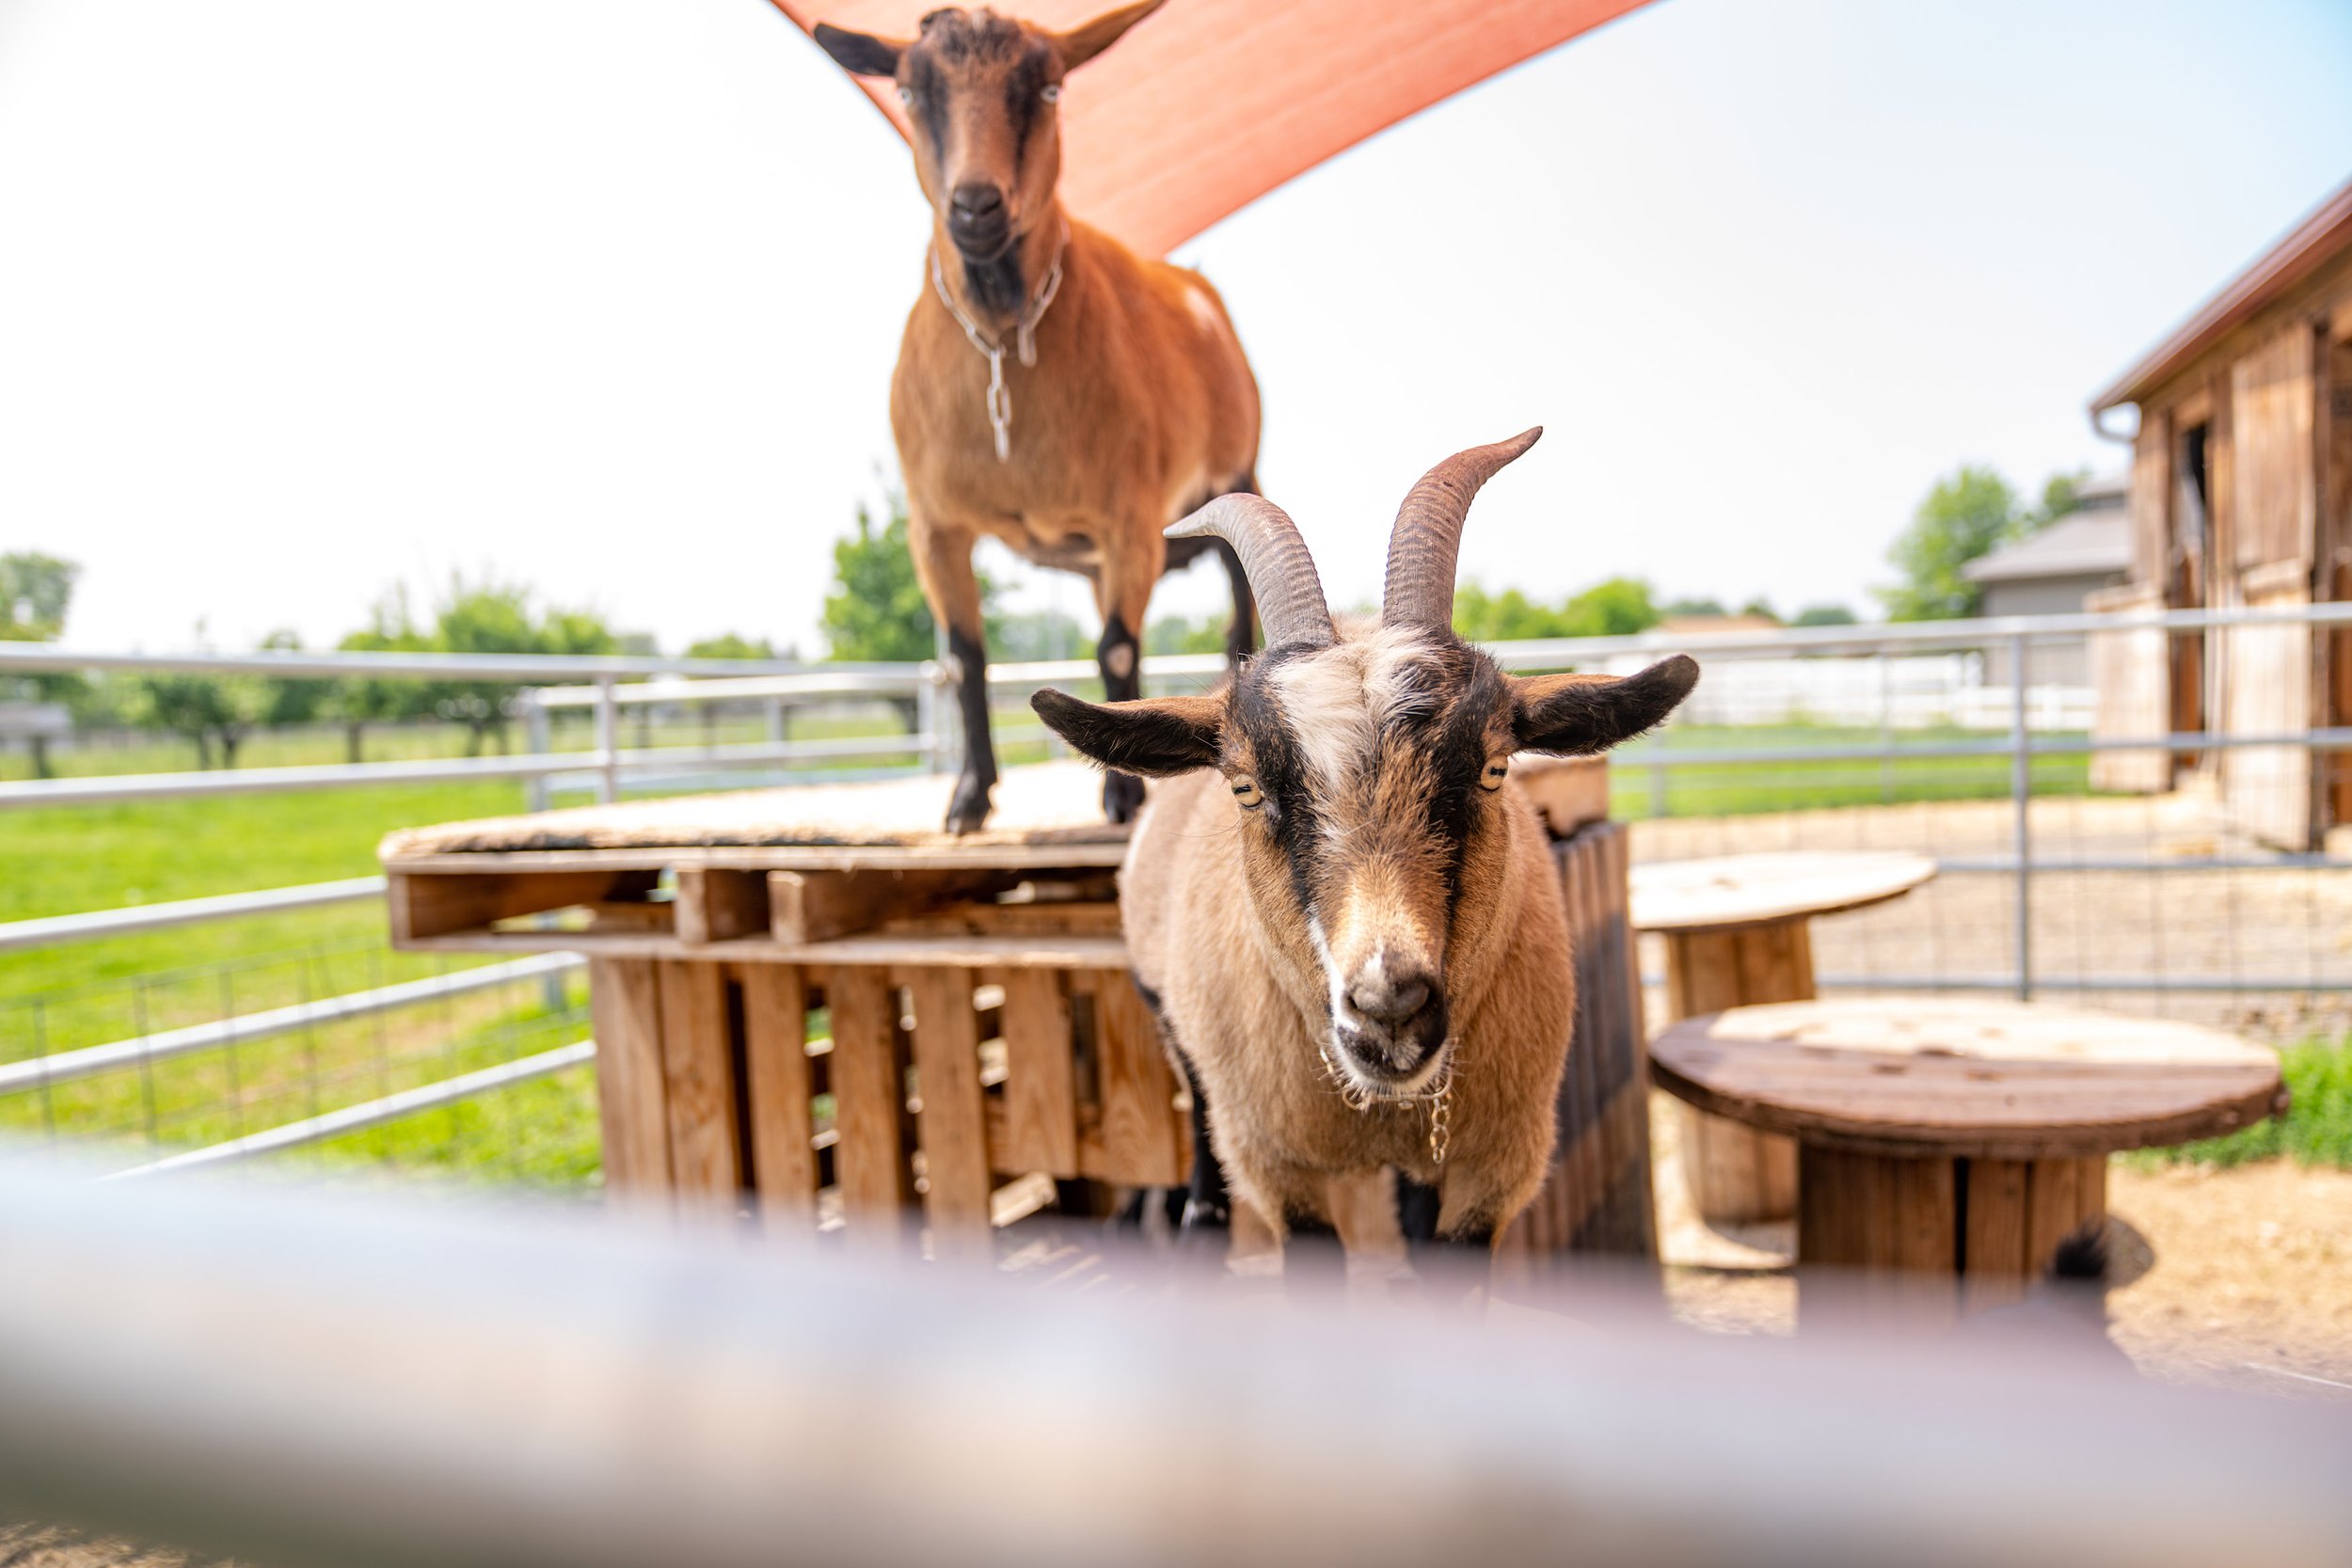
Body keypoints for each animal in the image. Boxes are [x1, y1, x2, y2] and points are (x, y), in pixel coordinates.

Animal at [813, 3, 1262, 833]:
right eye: (908, 90)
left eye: (1050, 88)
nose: (975, 206)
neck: (1002, 333)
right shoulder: (934, 526)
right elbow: (966, 655)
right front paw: (968, 798)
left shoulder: (1127, 514)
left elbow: (1114, 649)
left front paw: (1122, 795)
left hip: (1234, 473)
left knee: (1235, 618)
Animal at [1031, 429, 1699, 1275]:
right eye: (1245, 786)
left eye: (1494, 767)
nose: (1389, 1008)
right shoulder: (1279, 1166)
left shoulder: (1491, 1169)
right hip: (1174, 1025)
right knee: (1200, 1132)